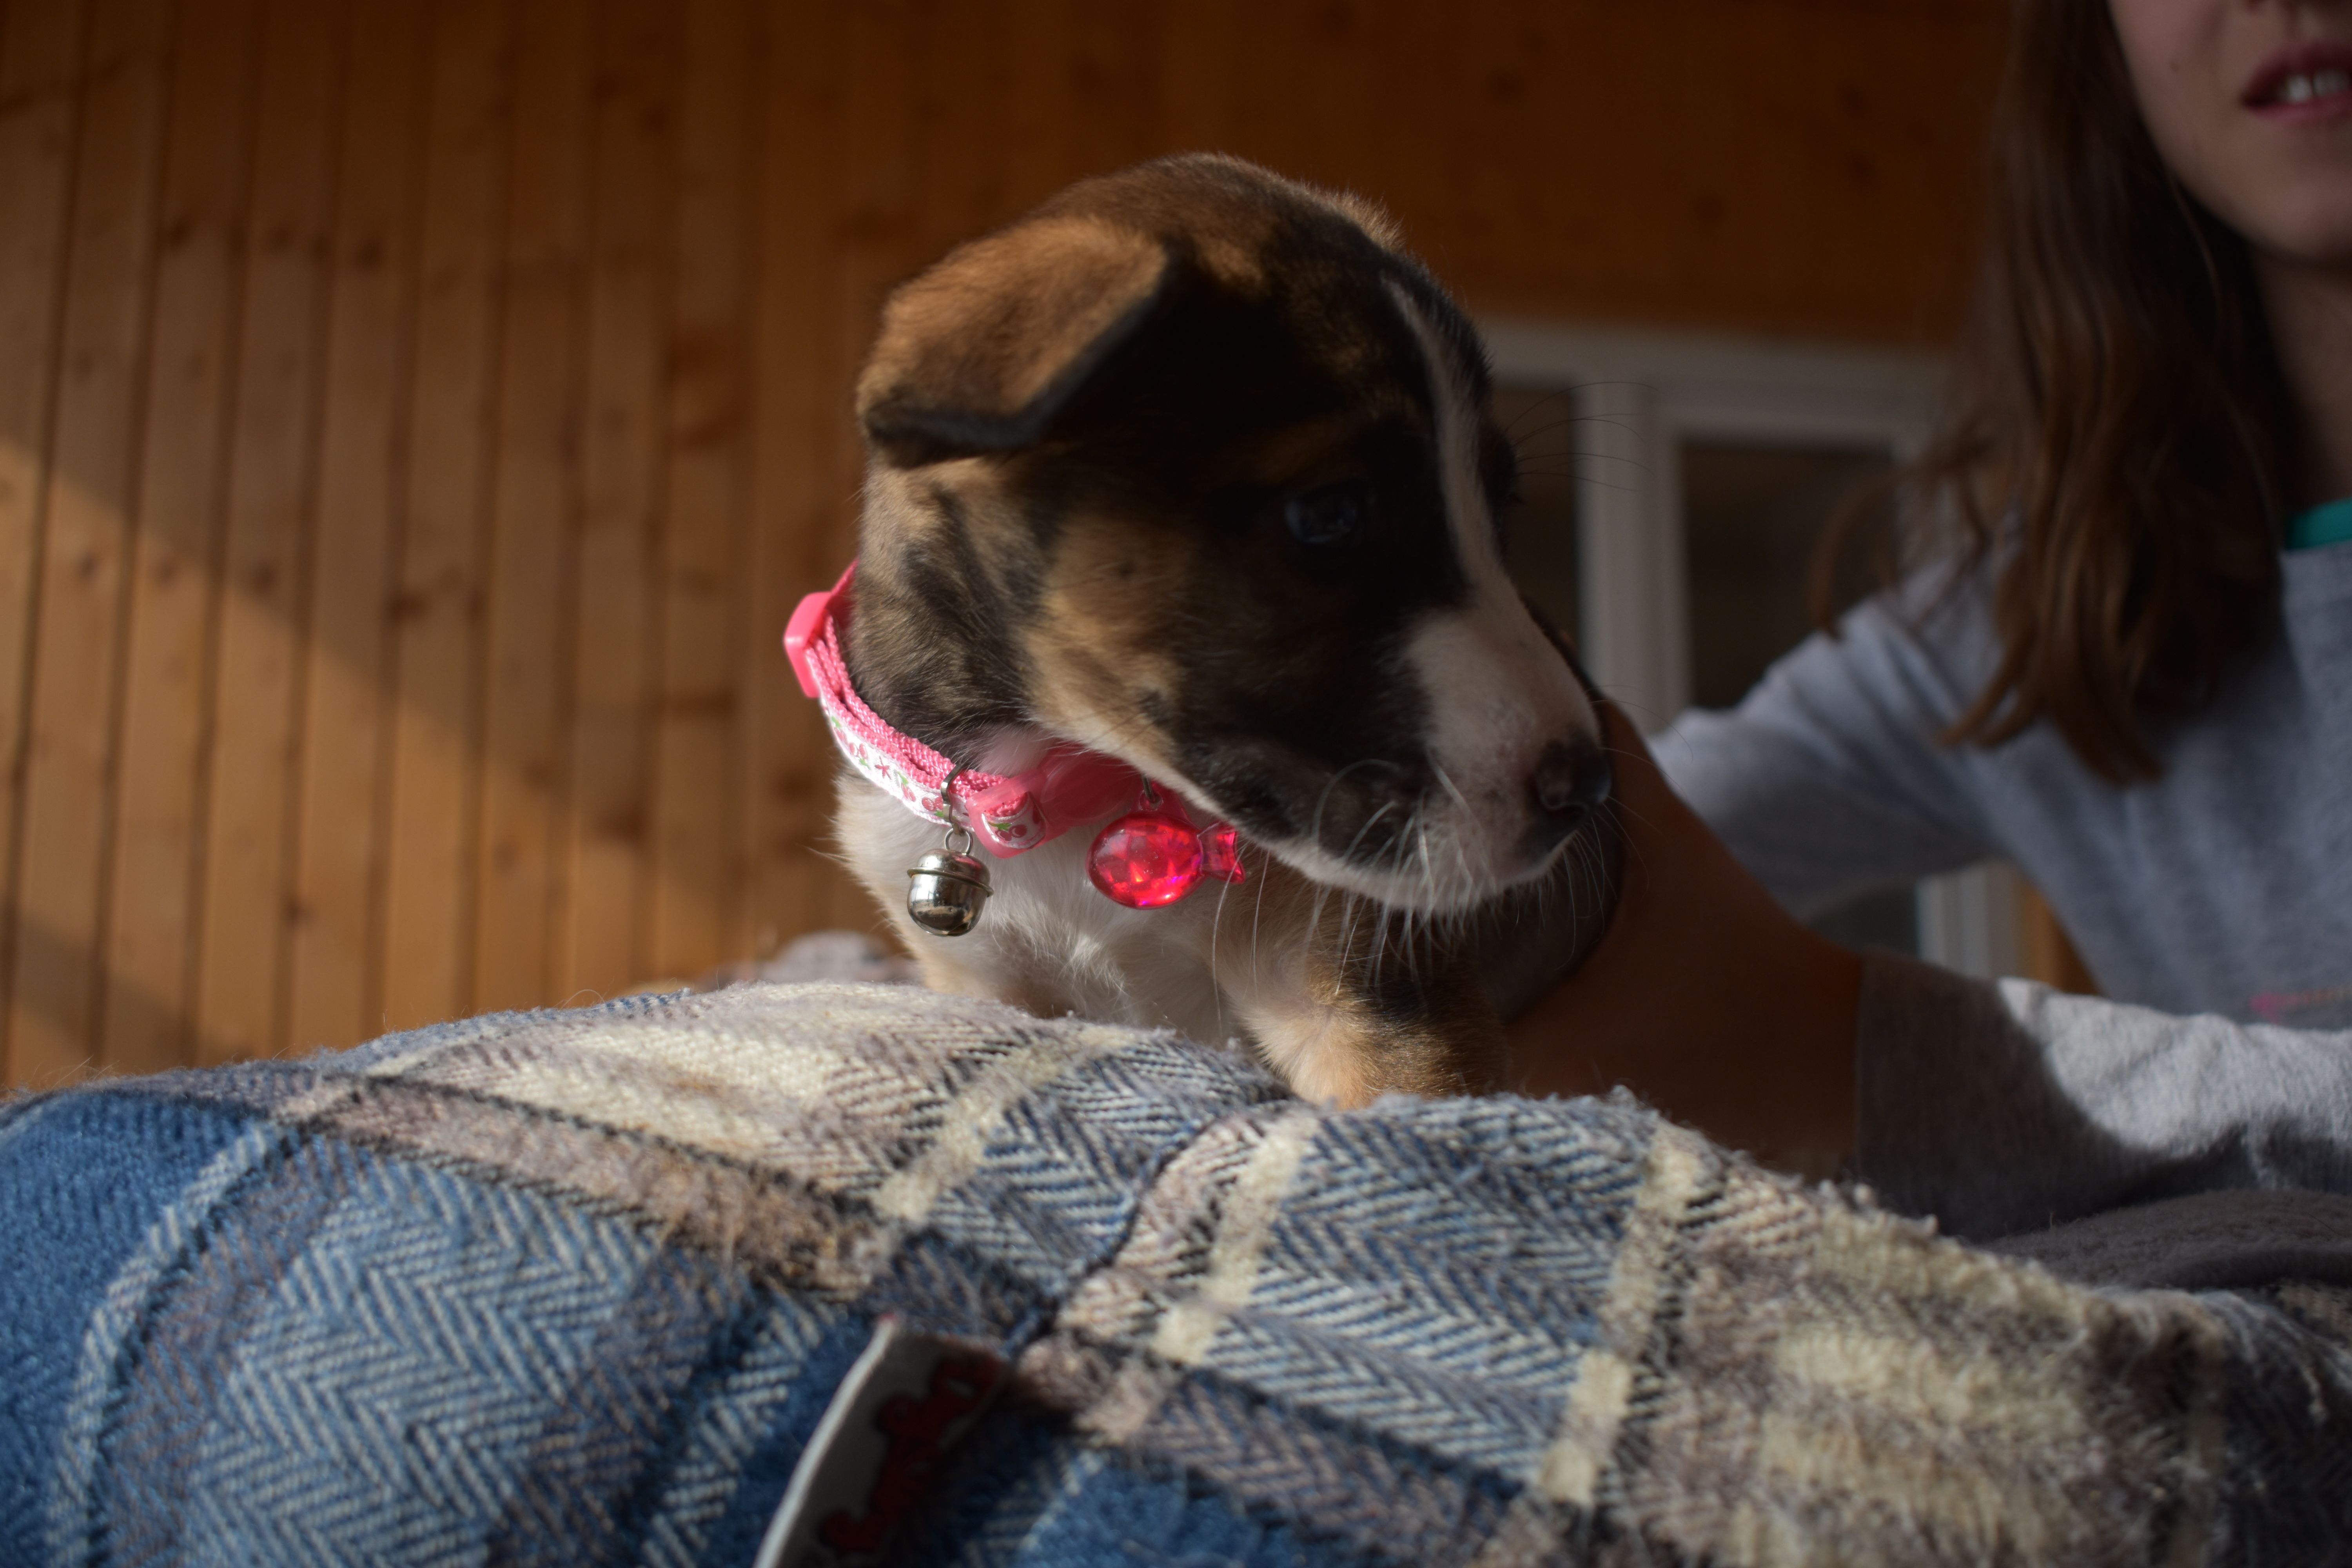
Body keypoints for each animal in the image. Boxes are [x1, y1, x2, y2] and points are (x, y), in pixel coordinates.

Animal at [790, 154, 1620, 1107]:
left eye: (1498, 508)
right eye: (1330, 516)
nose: (1589, 791)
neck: (1066, 782)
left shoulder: (1367, 996)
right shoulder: (985, 979)